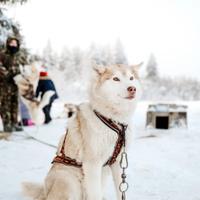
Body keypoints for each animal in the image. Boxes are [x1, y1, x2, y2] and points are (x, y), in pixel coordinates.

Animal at [23, 62, 142, 198]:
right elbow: (95, 195)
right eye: (116, 79)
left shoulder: (117, 163)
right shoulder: (92, 164)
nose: (132, 88)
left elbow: (120, 192)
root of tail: (44, 192)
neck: (115, 121)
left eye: (131, 78)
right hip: (68, 180)